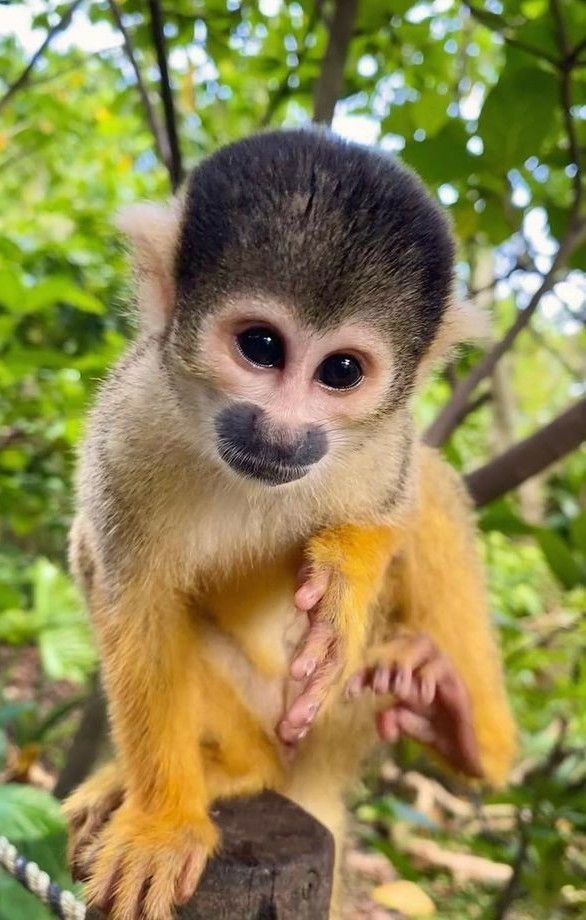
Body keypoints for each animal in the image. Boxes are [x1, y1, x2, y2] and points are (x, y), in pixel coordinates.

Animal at [62, 128, 517, 920]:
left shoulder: (384, 439)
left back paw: (464, 728)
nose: (280, 433)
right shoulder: (132, 415)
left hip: (341, 707)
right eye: (262, 347)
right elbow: (131, 594)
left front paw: (347, 574)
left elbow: (401, 502)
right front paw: (163, 821)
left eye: (340, 371)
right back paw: (235, 768)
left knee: (432, 489)